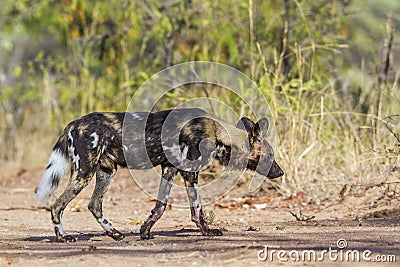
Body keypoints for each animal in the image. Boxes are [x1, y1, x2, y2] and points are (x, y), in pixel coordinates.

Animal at [35, 108, 284, 243]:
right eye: (270, 156)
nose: (280, 172)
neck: (217, 133)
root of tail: (73, 123)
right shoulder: (189, 172)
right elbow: (197, 209)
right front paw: (207, 231)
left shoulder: (170, 169)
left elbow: (160, 206)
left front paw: (145, 231)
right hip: (84, 173)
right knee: (56, 205)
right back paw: (63, 238)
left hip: (107, 171)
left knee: (94, 204)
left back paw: (116, 234)